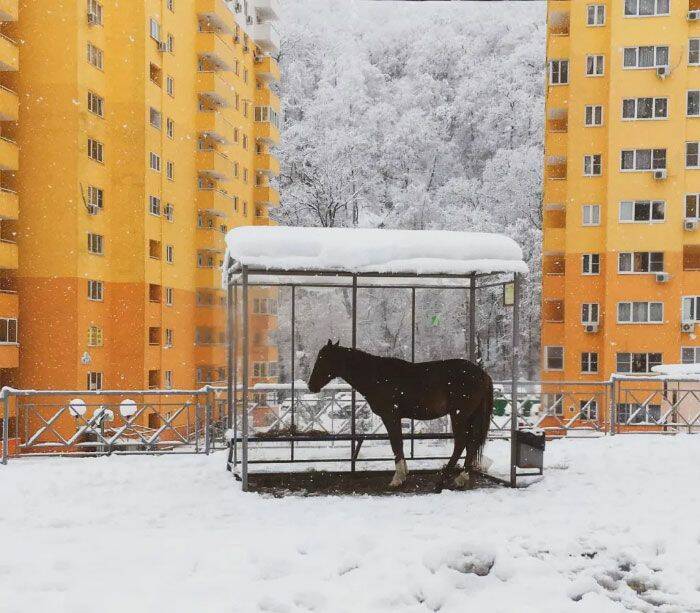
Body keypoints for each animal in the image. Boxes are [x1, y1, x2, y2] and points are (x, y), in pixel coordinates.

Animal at [306, 340, 492, 488]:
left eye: (323, 359)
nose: (311, 385)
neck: (377, 376)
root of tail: (482, 374)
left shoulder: (390, 417)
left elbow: (396, 444)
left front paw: (397, 478)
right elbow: (399, 445)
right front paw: (404, 474)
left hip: (459, 415)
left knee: (461, 442)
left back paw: (443, 480)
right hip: (469, 416)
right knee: (471, 443)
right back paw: (462, 477)